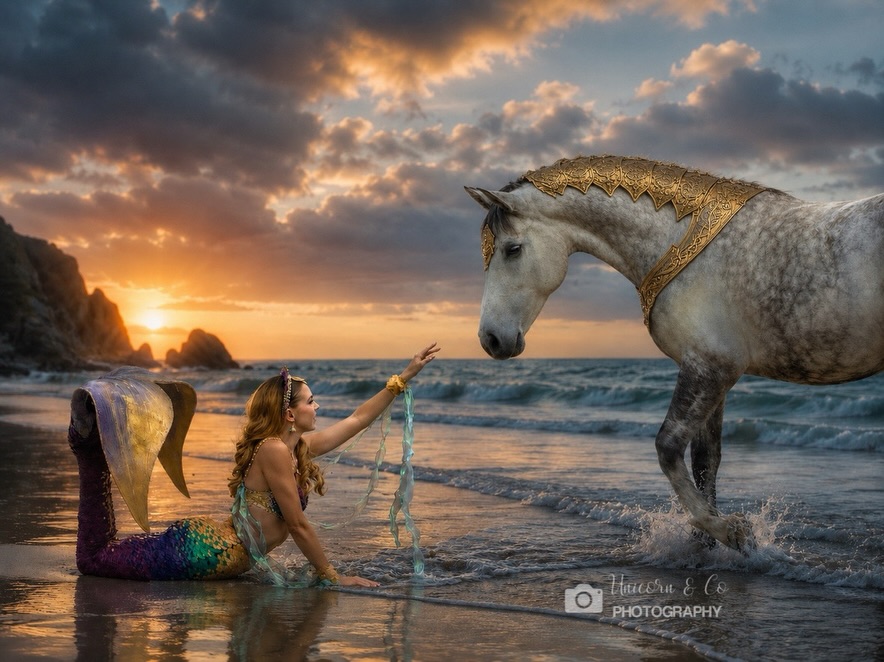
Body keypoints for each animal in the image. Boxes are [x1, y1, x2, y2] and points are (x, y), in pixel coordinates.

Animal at [466, 155, 884, 552]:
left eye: (512, 249)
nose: (491, 339)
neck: (682, 239)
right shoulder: (713, 372)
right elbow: (705, 462)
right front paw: (703, 544)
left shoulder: (710, 368)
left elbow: (668, 447)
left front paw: (730, 532)